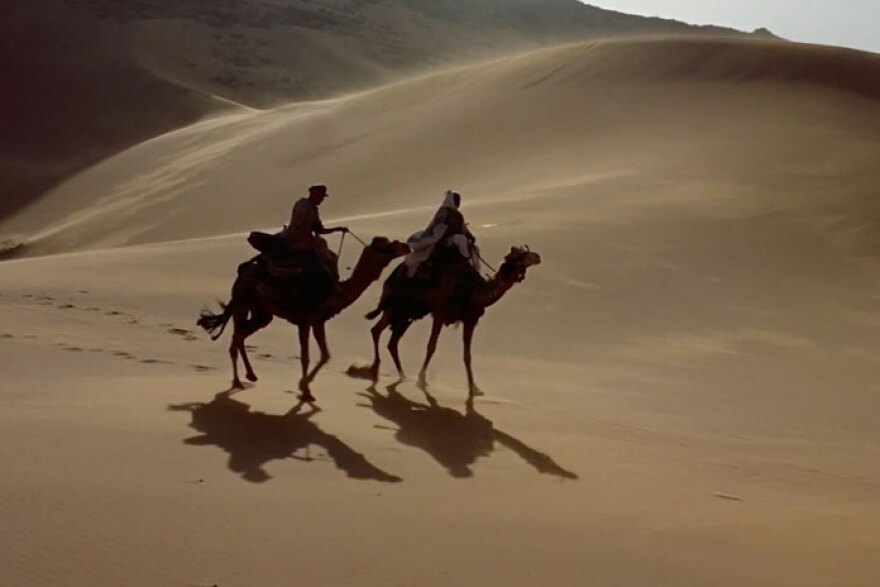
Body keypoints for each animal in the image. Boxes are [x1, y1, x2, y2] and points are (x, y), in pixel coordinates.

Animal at [198, 236, 410, 401]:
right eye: (388, 245)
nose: (406, 246)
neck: (335, 292)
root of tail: (243, 270)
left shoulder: (318, 320)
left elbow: (325, 355)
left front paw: (304, 385)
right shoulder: (304, 320)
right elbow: (306, 357)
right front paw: (306, 391)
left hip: (260, 312)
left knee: (239, 335)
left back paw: (248, 377)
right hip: (243, 301)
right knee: (237, 336)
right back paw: (240, 380)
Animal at [358, 245, 541, 395]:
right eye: (521, 254)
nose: (538, 256)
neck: (472, 292)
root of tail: (391, 277)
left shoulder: (470, 319)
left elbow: (467, 355)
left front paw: (474, 387)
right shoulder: (440, 314)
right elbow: (431, 347)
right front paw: (421, 379)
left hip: (404, 313)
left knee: (388, 338)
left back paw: (399, 374)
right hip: (396, 308)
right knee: (379, 332)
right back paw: (376, 368)